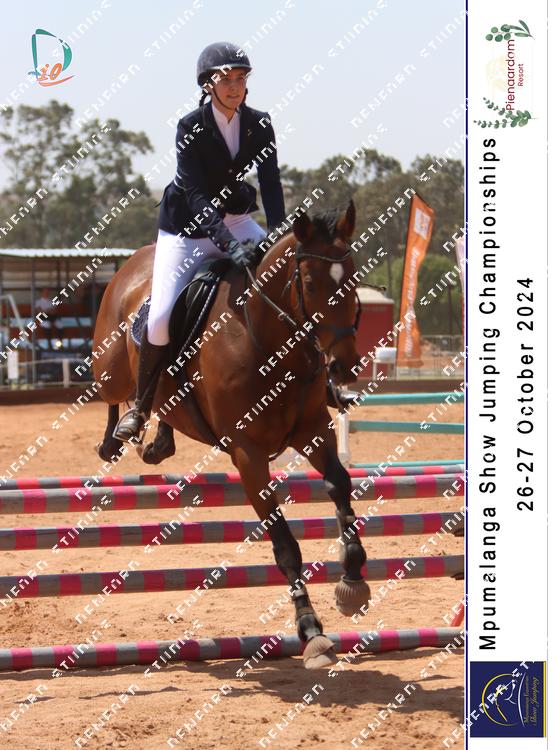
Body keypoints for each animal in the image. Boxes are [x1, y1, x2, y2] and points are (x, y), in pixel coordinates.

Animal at [92, 199, 371, 669]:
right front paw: (311, 630)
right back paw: (118, 435)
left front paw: (352, 577)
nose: (345, 366)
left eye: (351, 278)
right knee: (115, 391)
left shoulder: (313, 430)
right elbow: (285, 544)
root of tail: (134, 261)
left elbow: (339, 483)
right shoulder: (248, 454)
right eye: (309, 283)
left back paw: (157, 444)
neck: (272, 344)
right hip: (109, 367)